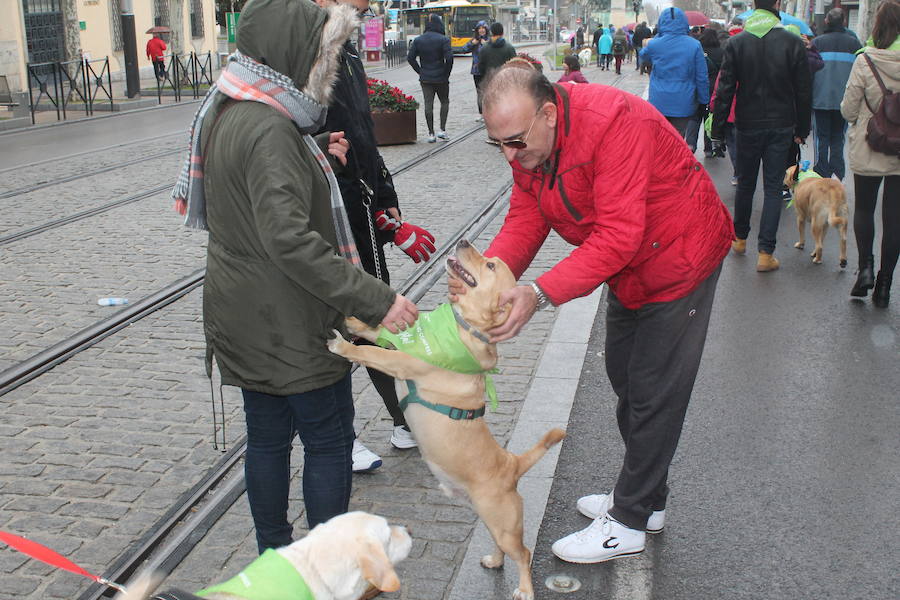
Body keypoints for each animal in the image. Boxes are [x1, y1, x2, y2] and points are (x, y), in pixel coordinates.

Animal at [326, 239, 568, 600]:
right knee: (501, 547)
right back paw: (494, 561)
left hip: (504, 523)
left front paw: (343, 345)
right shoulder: (397, 340)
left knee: (523, 554)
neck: (462, 328)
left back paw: (524, 590)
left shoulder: (400, 362)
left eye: (491, 265)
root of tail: (512, 464)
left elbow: (372, 351)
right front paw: (353, 319)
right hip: (491, 520)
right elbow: (377, 329)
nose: (465, 242)